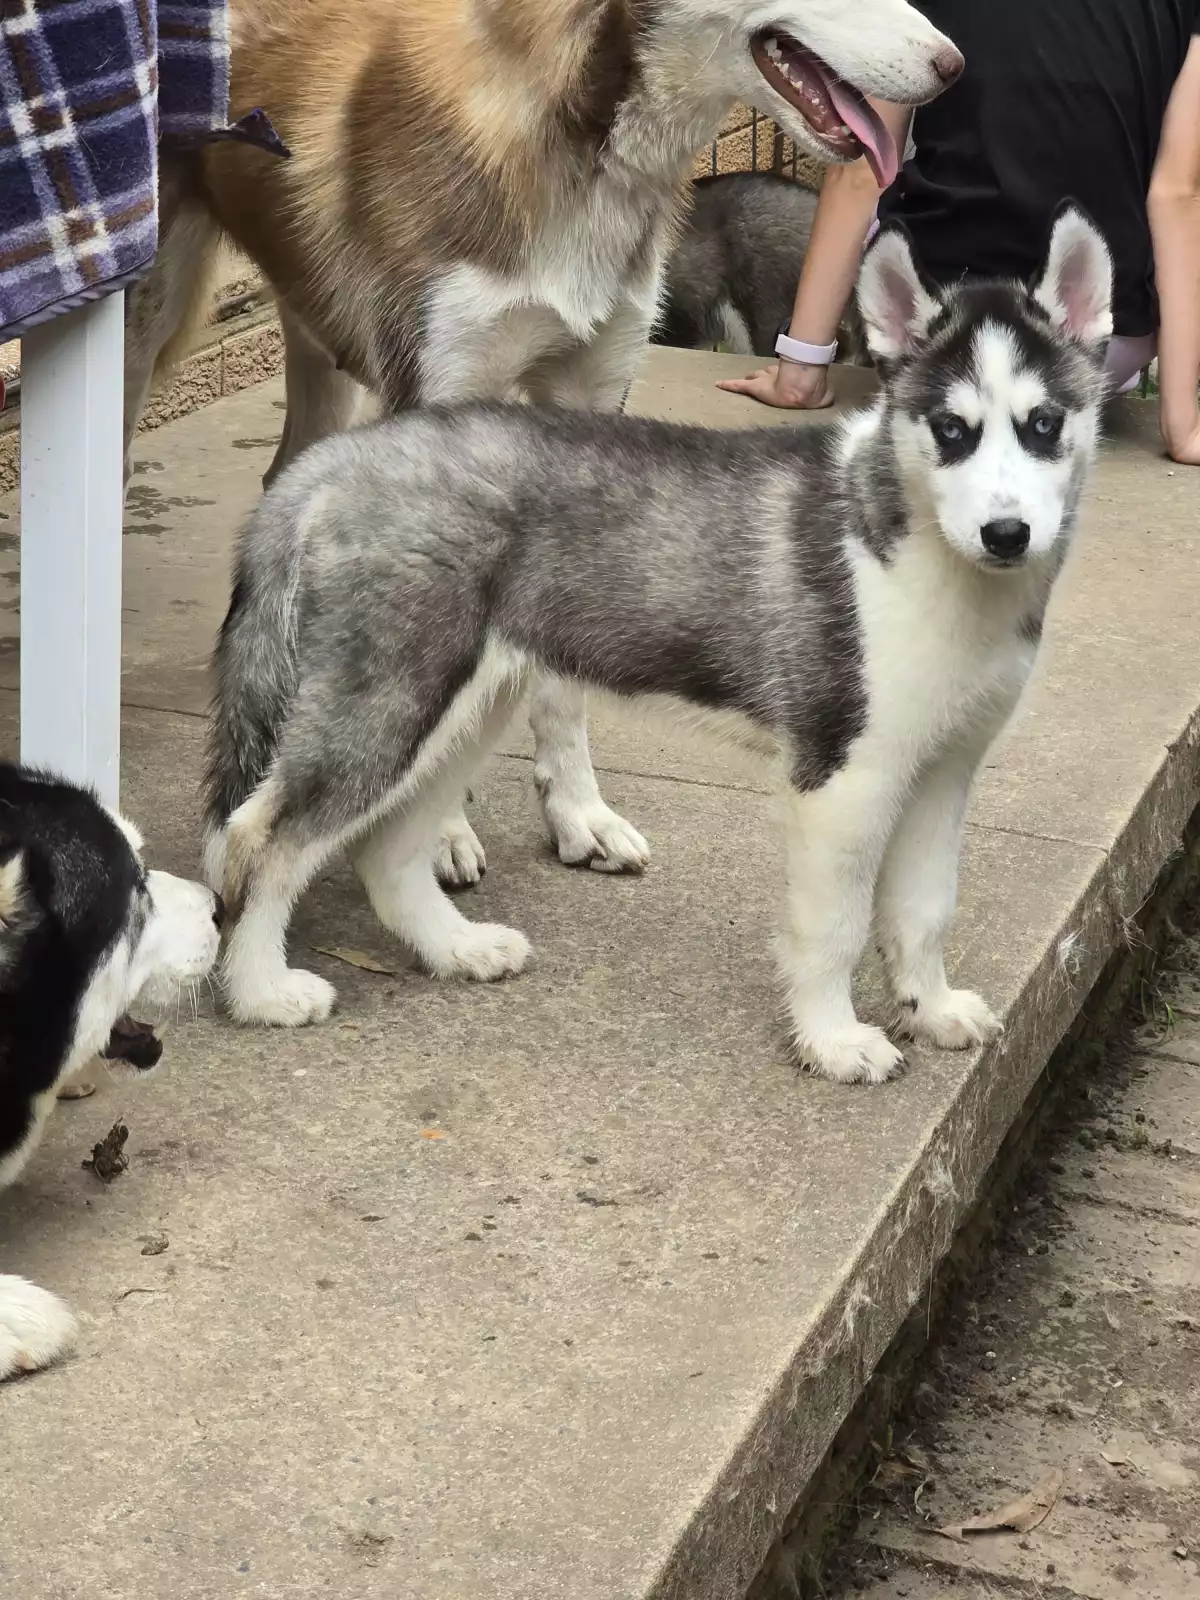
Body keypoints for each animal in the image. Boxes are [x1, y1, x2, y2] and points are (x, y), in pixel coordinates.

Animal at [200, 204, 1112, 1079]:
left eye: (1044, 425)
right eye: (952, 431)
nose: (1007, 534)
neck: (918, 549)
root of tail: (339, 460)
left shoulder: (943, 769)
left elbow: (924, 910)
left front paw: (932, 1008)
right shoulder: (842, 775)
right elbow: (836, 927)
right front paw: (832, 1042)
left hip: (464, 702)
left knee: (389, 849)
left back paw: (458, 948)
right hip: (393, 695)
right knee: (261, 839)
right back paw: (262, 992)